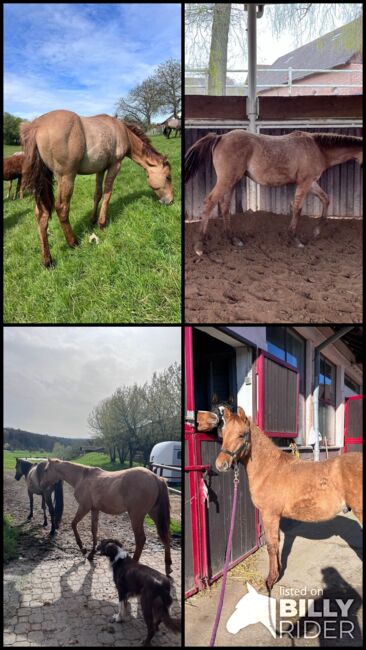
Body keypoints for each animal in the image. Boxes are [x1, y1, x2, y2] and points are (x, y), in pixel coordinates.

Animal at [19, 109, 174, 266]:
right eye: (168, 177)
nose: (171, 201)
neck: (122, 131)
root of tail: (37, 126)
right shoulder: (115, 166)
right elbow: (107, 194)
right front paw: (102, 223)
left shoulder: (100, 170)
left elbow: (97, 194)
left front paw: (93, 220)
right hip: (66, 177)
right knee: (62, 208)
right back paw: (73, 242)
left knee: (41, 214)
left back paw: (47, 260)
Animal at [40, 456, 172, 572]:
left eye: (46, 470)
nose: (41, 485)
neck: (82, 477)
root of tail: (157, 478)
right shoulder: (94, 509)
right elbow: (94, 530)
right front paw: (91, 553)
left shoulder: (84, 507)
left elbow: (73, 524)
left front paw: (82, 548)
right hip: (154, 514)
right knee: (164, 536)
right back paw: (168, 565)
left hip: (136, 516)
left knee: (141, 539)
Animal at [186, 130, 364, 256]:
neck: (317, 148)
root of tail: (221, 137)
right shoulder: (305, 182)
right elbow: (297, 208)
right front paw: (295, 239)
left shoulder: (312, 183)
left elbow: (325, 199)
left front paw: (316, 231)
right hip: (226, 180)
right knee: (209, 203)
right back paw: (199, 246)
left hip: (231, 182)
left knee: (224, 206)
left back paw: (233, 239)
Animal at [196, 404, 362, 588]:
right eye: (223, 434)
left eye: (241, 434)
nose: (221, 464)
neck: (270, 468)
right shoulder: (275, 516)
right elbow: (277, 543)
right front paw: (278, 572)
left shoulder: (269, 514)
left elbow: (271, 545)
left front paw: (271, 580)